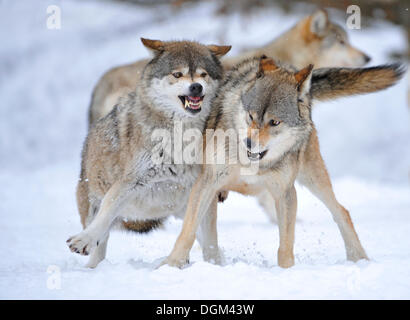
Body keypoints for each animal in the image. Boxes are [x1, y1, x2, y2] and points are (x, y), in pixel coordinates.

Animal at [163, 57, 404, 268]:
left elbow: (285, 246)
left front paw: (286, 272)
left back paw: (359, 258)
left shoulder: (285, 192)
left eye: (274, 122)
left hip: (313, 178)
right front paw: (172, 265)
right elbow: (187, 232)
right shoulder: (207, 183)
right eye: (251, 116)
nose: (248, 142)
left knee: (341, 211)